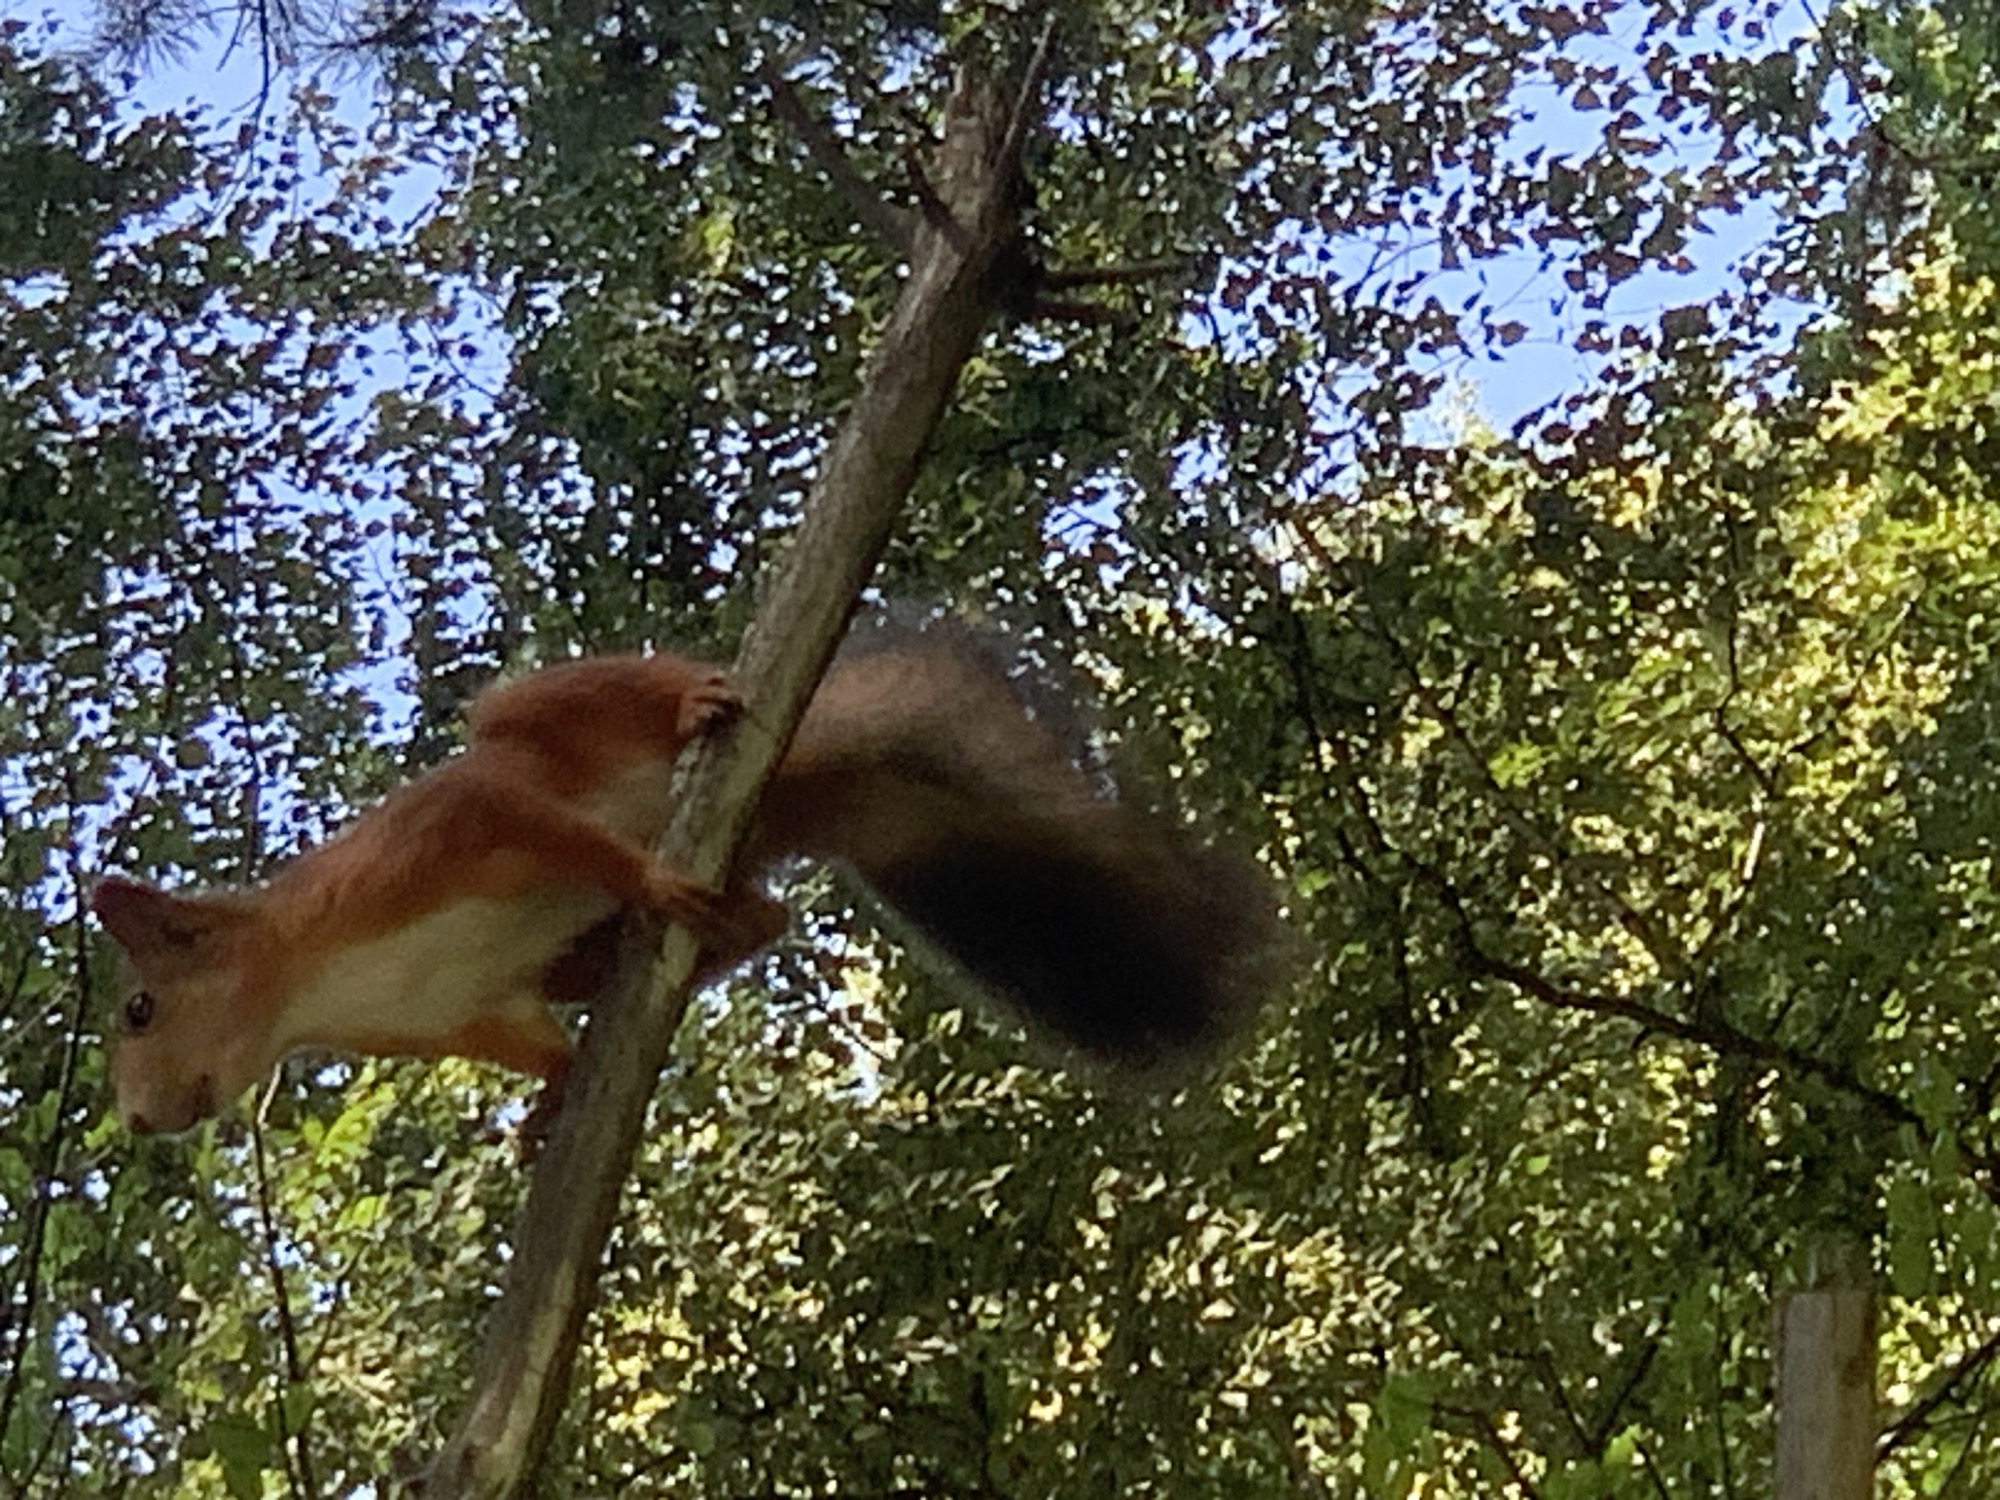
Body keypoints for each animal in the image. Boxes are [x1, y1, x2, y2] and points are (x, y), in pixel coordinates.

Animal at [93, 624, 1279, 1134]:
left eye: (140, 1009)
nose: (145, 1124)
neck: (315, 974)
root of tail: (796, 775)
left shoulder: (450, 829)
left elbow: (543, 828)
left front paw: (647, 883)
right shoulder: (460, 1013)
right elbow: (533, 1042)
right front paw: (552, 1103)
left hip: (552, 717)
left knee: (610, 702)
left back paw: (693, 715)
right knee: (765, 915)